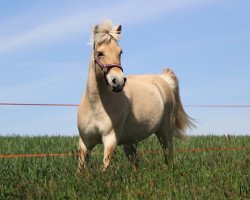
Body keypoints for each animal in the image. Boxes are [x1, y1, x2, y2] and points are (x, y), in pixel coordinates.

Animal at [77, 19, 193, 170]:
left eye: (120, 52)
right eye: (100, 53)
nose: (118, 81)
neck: (96, 105)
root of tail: (163, 80)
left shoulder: (110, 139)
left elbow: (105, 167)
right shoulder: (85, 142)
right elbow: (80, 169)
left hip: (164, 132)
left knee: (169, 153)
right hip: (130, 141)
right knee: (135, 162)